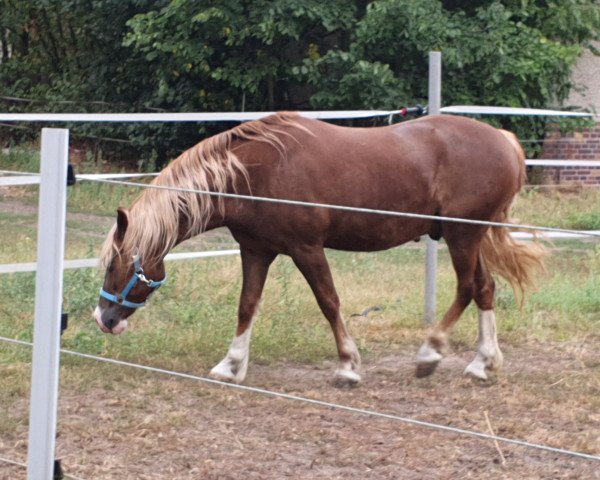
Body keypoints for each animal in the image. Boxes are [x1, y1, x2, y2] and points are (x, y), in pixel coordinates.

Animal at [92, 110, 544, 384]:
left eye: (115, 265)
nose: (104, 319)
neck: (252, 173)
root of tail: (504, 139)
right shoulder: (256, 251)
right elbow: (247, 305)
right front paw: (231, 364)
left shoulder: (307, 249)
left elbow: (329, 301)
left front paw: (347, 365)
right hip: (469, 237)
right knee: (485, 288)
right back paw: (482, 363)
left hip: (461, 236)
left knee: (467, 288)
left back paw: (429, 355)